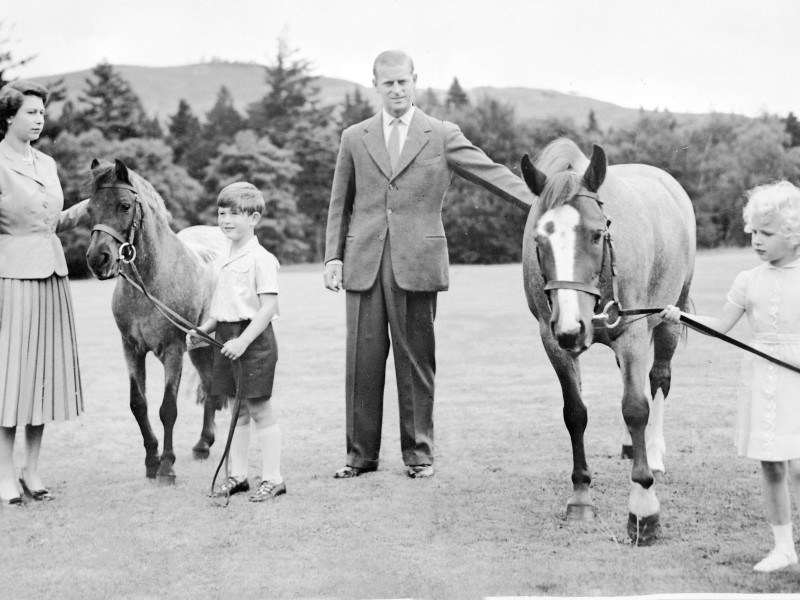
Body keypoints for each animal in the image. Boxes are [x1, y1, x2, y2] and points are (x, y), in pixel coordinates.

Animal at [85, 158, 227, 482]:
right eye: (89, 209)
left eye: (124, 205)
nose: (98, 259)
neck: (151, 281)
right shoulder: (131, 349)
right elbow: (138, 404)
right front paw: (152, 460)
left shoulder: (173, 351)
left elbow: (167, 408)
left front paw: (167, 467)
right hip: (199, 346)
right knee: (210, 385)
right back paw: (203, 444)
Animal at [520, 139, 692, 544]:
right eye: (539, 240)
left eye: (597, 234)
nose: (572, 327)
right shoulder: (552, 340)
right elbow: (575, 413)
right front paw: (581, 497)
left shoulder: (632, 333)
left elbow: (635, 407)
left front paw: (644, 509)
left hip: (668, 316)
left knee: (658, 380)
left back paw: (653, 454)